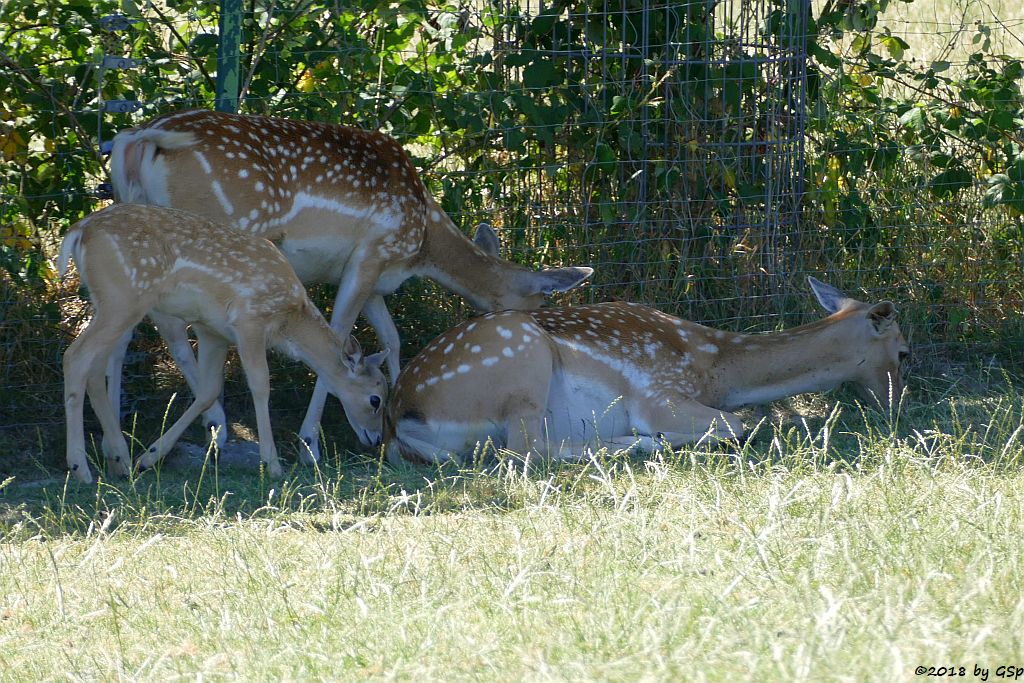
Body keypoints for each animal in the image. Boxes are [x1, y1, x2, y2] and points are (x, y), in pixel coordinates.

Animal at [59, 202, 387, 485]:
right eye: (376, 399)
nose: (377, 439)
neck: (289, 321)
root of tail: (79, 230)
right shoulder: (249, 321)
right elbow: (260, 386)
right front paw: (272, 464)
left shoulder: (211, 330)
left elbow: (208, 391)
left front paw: (149, 457)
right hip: (124, 298)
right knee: (75, 357)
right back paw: (80, 468)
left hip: (108, 301)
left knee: (94, 368)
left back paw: (120, 461)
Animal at [110, 109, 593, 462]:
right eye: (538, 306)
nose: (549, 336)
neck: (421, 243)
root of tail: (139, 139)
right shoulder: (371, 253)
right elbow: (342, 333)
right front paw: (311, 440)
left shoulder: (376, 280)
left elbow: (392, 338)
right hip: (212, 235)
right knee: (171, 328)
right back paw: (213, 424)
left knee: (124, 325)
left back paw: (117, 445)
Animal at [385, 278, 913, 464]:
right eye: (905, 352)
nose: (897, 406)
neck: (716, 367)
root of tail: (400, 419)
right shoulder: (658, 394)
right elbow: (737, 424)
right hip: (521, 358)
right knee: (525, 451)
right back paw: (634, 445)